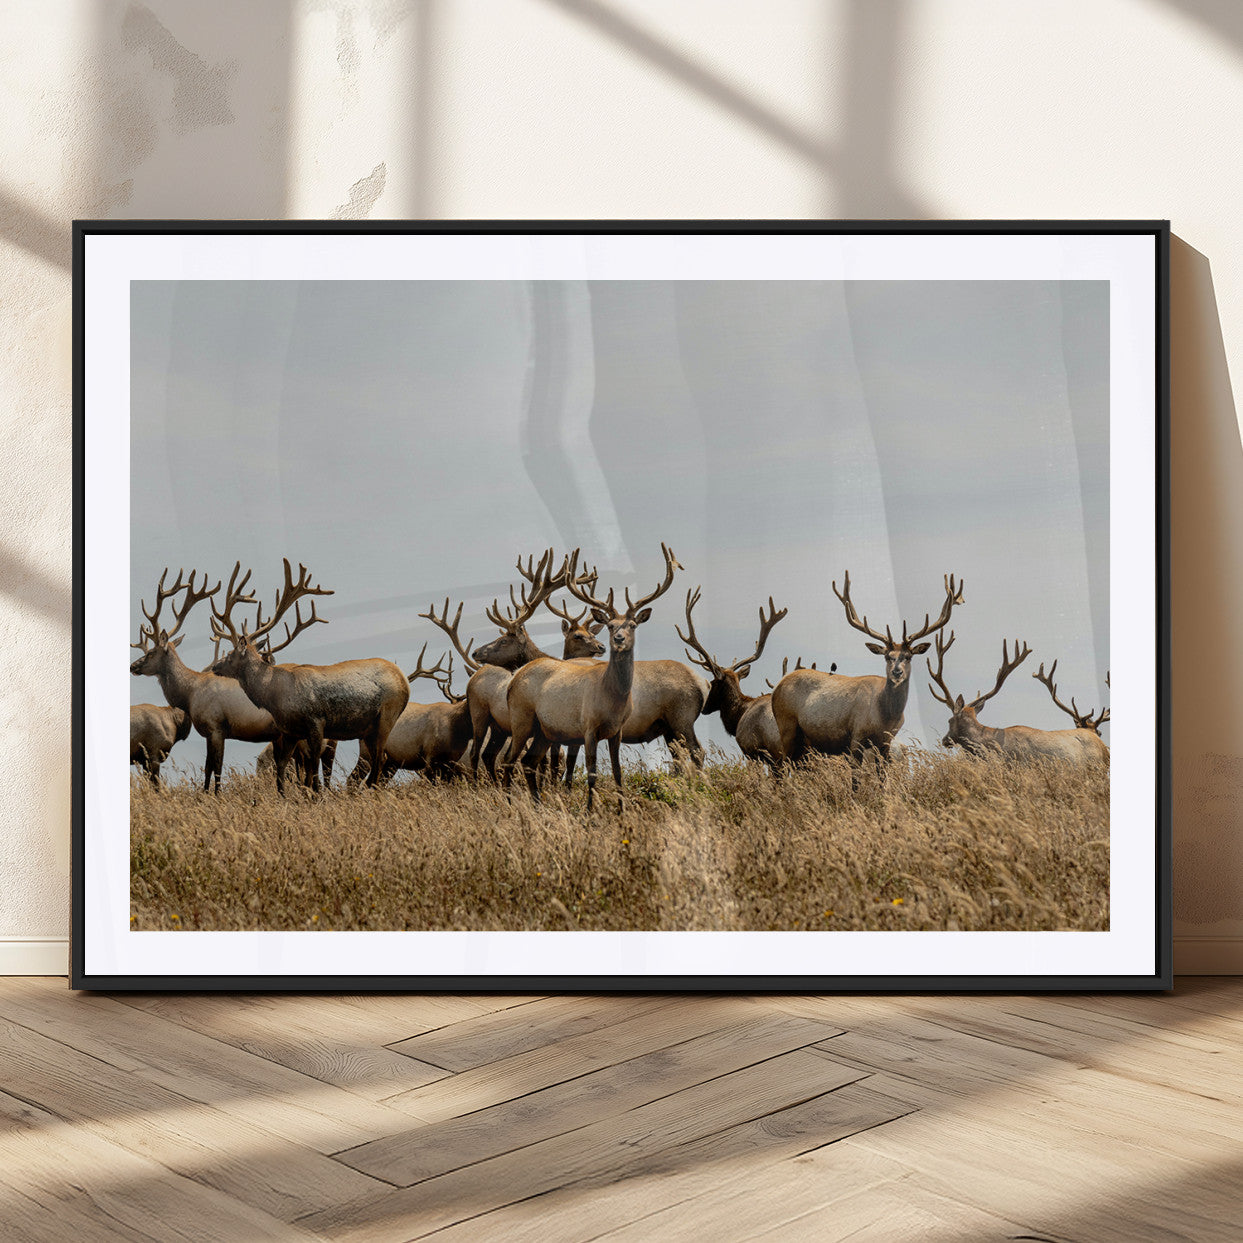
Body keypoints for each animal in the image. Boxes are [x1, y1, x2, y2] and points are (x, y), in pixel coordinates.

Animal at [210, 560, 409, 793]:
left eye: (231, 654)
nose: (215, 666)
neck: (275, 696)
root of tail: (404, 679)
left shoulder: (316, 722)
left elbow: (312, 771)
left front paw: (314, 796)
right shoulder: (290, 732)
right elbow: (282, 769)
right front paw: (285, 796)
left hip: (386, 716)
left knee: (378, 763)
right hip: (369, 729)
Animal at [504, 543, 682, 811]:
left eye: (632, 625)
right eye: (610, 625)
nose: (618, 639)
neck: (611, 700)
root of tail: (514, 679)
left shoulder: (617, 731)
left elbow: (618, 772)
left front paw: (621, 811)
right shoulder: (588, 727)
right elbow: (592, 773)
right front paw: (590, 811)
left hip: (544, 729)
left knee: (528, 762)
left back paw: (537, 805)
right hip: (521, 717)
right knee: (508, 760)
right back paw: (507, 803)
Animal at [772, 570, 964, 767]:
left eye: (909, 656)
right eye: (887, 656)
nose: (897, 672)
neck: (885, 718)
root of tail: (778, 686)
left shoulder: (885, 743)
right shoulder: (856, 736)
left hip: (805, 742)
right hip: (786, 726)